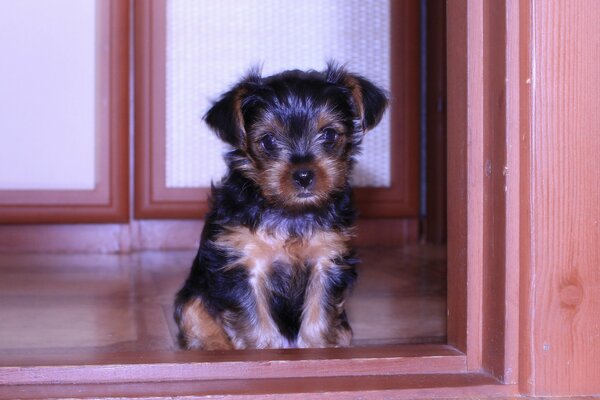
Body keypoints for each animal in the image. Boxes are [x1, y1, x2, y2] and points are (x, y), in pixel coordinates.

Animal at [173, 63, 390, 350]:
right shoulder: (243, 264)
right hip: (193, 299)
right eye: (268, 140)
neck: (290, 211)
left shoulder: (326, 260)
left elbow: (319, 313)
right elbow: (255, 320)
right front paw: (266, 350)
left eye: (329, 134)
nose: (304, 175)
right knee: (196, 314)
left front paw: (317, 347)